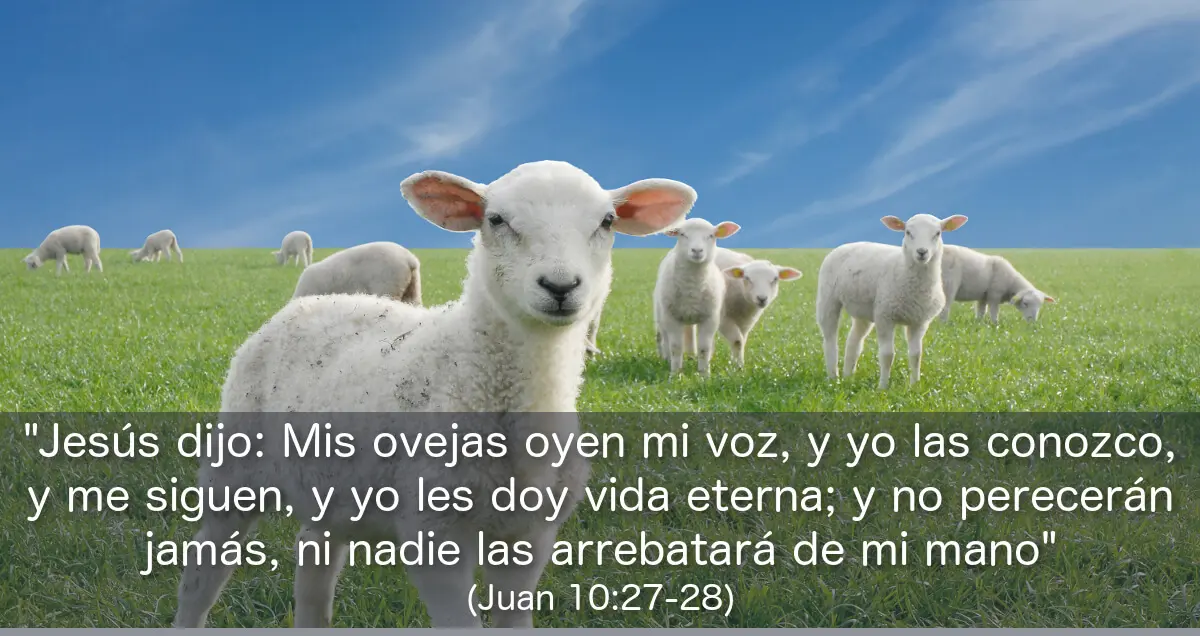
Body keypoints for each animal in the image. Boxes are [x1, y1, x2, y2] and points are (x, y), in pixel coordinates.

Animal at [652, 218, 740, 377]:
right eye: (682, 234)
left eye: (711, 235)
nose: (697, 251)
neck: (692, 287)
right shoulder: (671, 318)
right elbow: (676, 347)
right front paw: (675, 374)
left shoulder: (710, 319)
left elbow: (704, 349)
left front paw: (704, 374)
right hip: (661, 313)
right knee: (663, 338)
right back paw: (666, 359)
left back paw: (692, 357)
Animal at [816, 213, 968, 389]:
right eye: (908, 232)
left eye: (938, 233)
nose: (922, 252)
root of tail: (846, 245)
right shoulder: (885, 316)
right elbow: (887, 354)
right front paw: (883, 387)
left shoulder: (919, 322)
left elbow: (916, 354)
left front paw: (914, 385)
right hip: (828, 298)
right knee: (830, 339)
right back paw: (833, 377)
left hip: (864, 310)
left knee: (853, 341)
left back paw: (848, 377)